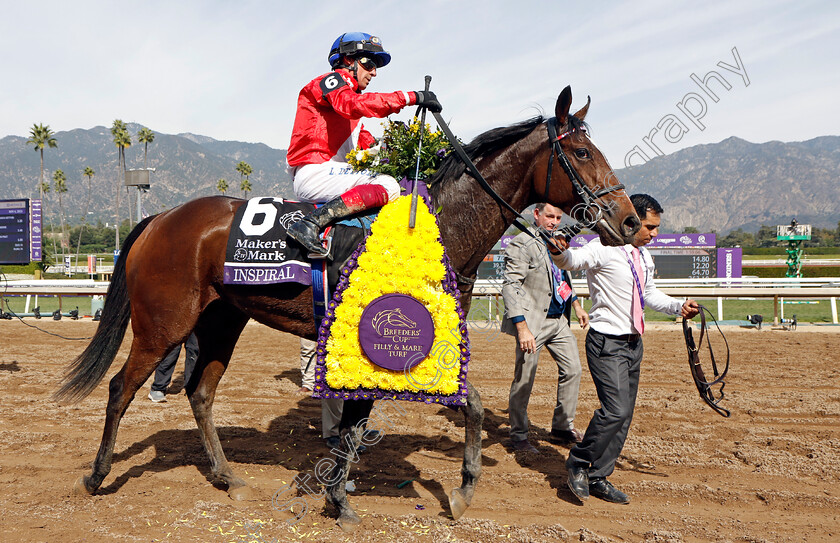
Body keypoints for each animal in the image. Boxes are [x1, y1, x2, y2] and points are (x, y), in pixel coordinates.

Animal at [55, 86, 640, 532]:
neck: (437, 228)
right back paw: (97, 475)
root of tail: (161, 217)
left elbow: (434, 410)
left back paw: (227, 477)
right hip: (164, 325)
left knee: (200, 392)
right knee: (120, 388)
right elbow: (409, 413)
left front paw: (384, 493)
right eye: (581, 153)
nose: (630, 220)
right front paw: (371, 495)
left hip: (222, 320)